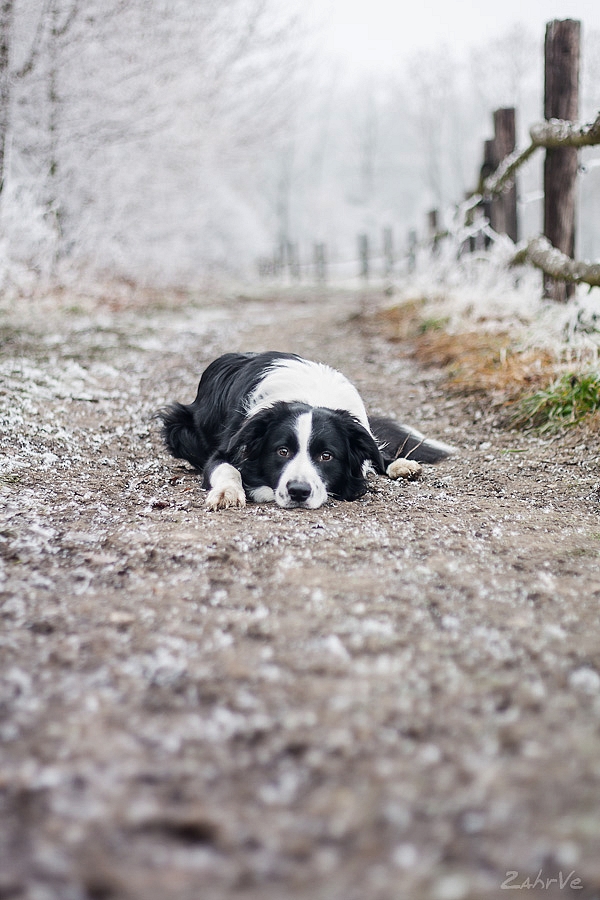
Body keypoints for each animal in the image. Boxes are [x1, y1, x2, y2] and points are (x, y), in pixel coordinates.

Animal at [157, 350, 452, 506]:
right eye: (282, 451)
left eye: (326, 456)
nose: (298, 492)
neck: (310, 397)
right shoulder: (225, 450)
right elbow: (228, 469)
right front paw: (228, 493)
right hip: (179, 428)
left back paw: (401, 465)